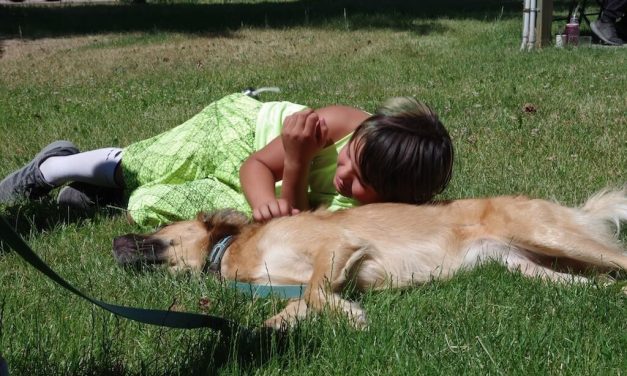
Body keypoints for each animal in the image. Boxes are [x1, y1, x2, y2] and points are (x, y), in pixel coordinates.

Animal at [111, 188, 627, 328]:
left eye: (154, 228)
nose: (113, 242)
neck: (231, 252)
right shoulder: (296, 286)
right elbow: (291, 309)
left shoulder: (337, 246)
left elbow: (316, 291)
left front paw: (353, 317)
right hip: (527, 266)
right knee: (596, 283)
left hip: (547, 235)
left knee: (618, 258)